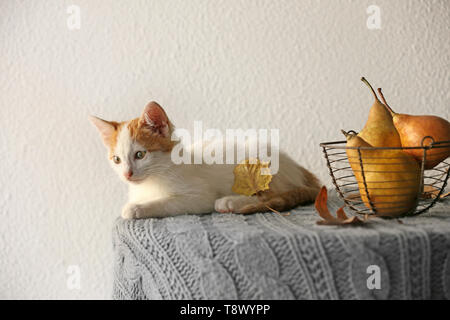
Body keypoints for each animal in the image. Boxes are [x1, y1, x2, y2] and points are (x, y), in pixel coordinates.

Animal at [89, 101, 320, 219]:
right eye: (117, 159)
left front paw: (137, 208)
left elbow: (168, 203)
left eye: (140, 154)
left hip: (262, 161)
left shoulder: (198, 196)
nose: (127, 174)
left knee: (271, 195)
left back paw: (230, 201)